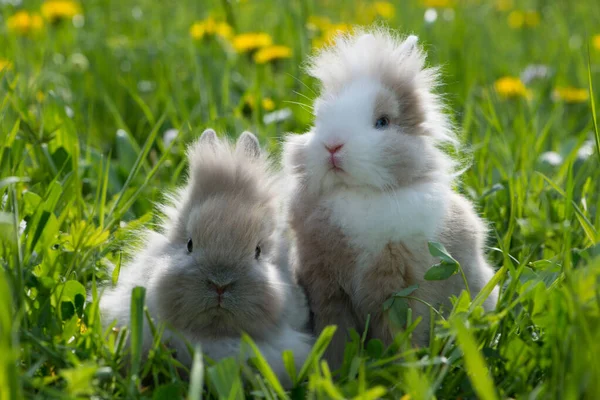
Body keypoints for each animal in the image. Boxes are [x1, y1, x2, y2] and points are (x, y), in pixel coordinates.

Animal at [284, 28, 500, 368]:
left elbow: (399, 334)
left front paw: (401, 370)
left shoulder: (402, 288)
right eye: (318, 118)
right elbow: (336, 334)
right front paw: (334, 369)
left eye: (382, 122)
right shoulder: (326, 287)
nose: (332, 146)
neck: (358, 193)